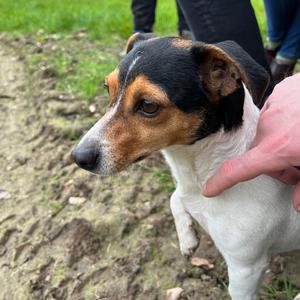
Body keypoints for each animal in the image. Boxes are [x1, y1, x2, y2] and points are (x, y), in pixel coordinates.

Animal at [72, 34, 300, 298]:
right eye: (107, 87)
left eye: (148, 105)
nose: (78, 156)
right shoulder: (186, 190)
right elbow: (175, 197)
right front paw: (187, 238)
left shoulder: (246, 269)